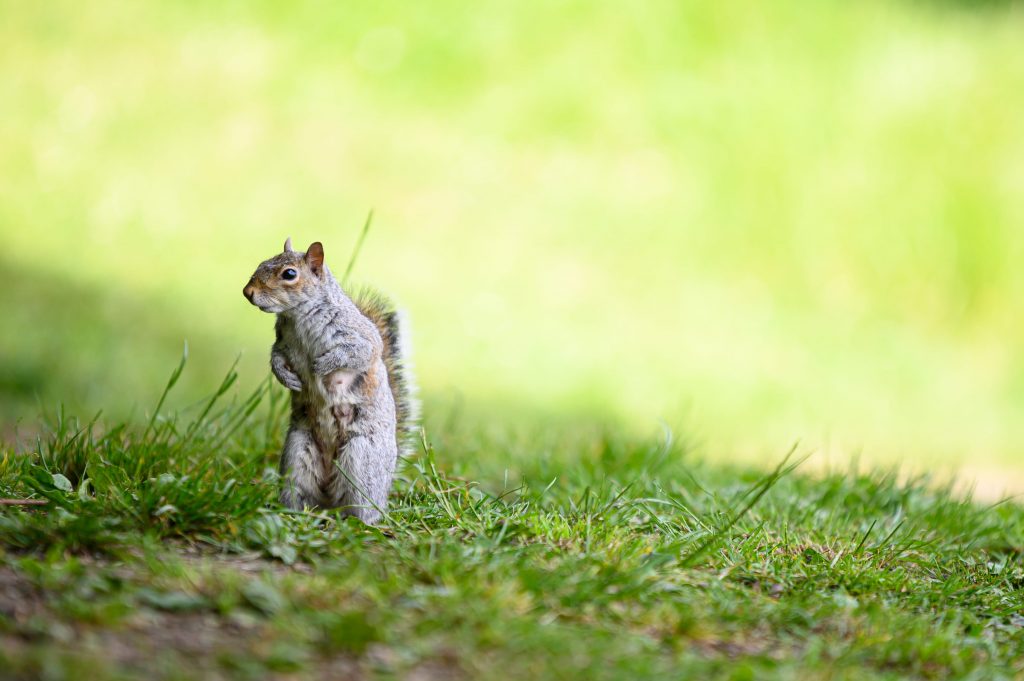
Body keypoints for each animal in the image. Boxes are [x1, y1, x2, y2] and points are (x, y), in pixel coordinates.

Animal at [242, 238, 417, 523]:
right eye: (262, 262)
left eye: (289, 274)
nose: (248, 292)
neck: (297, 316)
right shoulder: (281, 342)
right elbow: (276, 358)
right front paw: (287, 377)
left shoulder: (360, 338)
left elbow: (360, 352)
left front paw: (322, 365)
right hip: (297, 457)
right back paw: (295, 515)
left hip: (361, 460)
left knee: (363, 505)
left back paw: (362, 522)